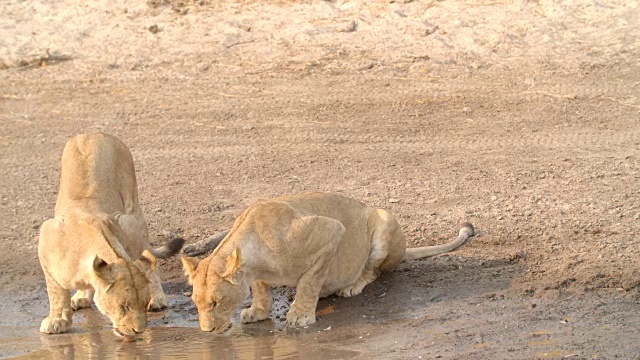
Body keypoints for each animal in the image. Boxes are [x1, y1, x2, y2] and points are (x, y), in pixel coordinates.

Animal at [37, 133, 184, 338]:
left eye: (143, 303)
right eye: (123, 307)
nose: (138, 331)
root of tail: (95, 133)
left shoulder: (127, 224)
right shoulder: (47, 235)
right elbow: (56, 291)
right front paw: (58, 320)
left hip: (133, 207)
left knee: (148, 253)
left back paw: (158, 299)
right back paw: (81, 297)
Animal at [182, 191, 472, 332]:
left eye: (216, 302)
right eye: (196, 302)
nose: (207, 332)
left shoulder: (330, 232)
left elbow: (310, 281)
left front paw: (300, 315)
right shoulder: (257, 273)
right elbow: (261, 288)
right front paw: (259, 311)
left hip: (384, 220)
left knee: (374, 270)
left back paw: (350, 287)